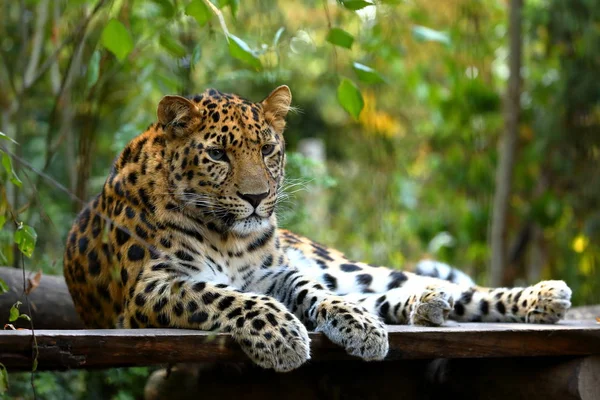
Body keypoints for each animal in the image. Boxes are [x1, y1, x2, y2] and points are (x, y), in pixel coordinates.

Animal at [63, 85, 576, 372]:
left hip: (342, 264)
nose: (256, 198)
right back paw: (428, 306)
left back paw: (537, 297)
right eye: (217, 155)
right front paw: (280, 336)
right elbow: (227, 297)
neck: (226, 236)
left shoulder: (274, 272)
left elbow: (311, 288)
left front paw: (355, 324)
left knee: (421, 287)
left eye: (267, 149)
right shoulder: (152, 286)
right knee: (391, 296)